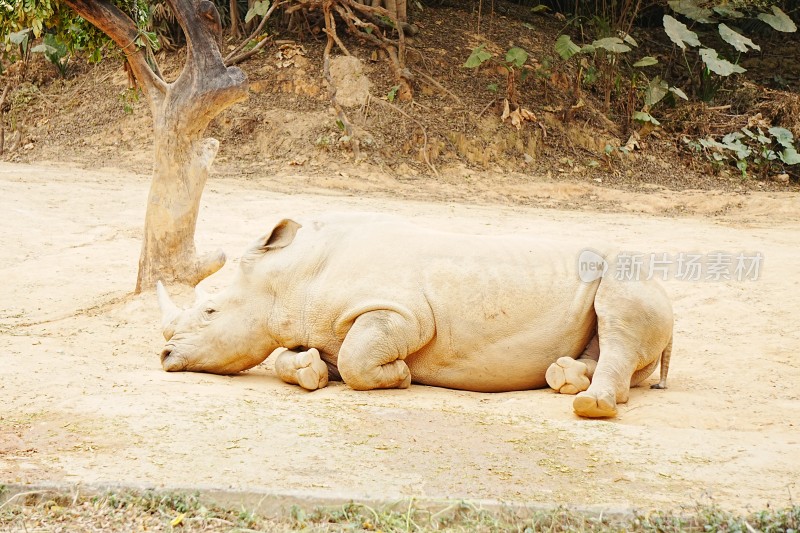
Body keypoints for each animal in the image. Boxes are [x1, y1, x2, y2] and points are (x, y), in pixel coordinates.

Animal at [155, 214, 668, 418]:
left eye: (210, 310)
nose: (164, 356)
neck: (291, 276)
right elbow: (293, 358)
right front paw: (310, 372)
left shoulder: (401, 314)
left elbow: (359, 361)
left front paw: (400, 375)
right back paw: (566, 379)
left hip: (630, 273)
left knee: (619, 316)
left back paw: (591, 406)